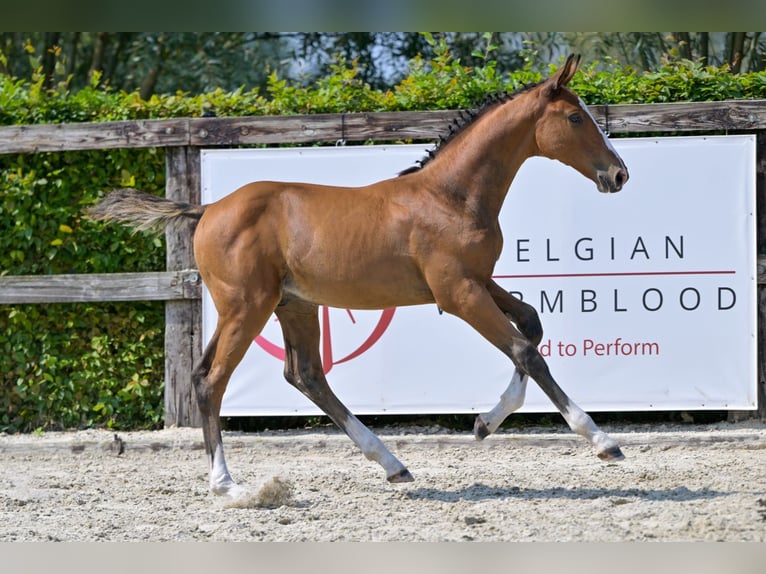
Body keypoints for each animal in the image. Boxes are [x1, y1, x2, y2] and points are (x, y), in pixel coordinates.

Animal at [90, 56, 632, 502]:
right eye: (575, 118)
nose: (619, 175)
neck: (452, 195)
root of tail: (206, 209)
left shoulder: (478, 281)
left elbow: (532, 326)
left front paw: (483, 423)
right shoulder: (457, 293)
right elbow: (525, 351)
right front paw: (602, 440)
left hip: (294, 304)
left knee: (305, 374)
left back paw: (392, 464)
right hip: (246, 306)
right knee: (211, 379)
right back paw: (228, 485)